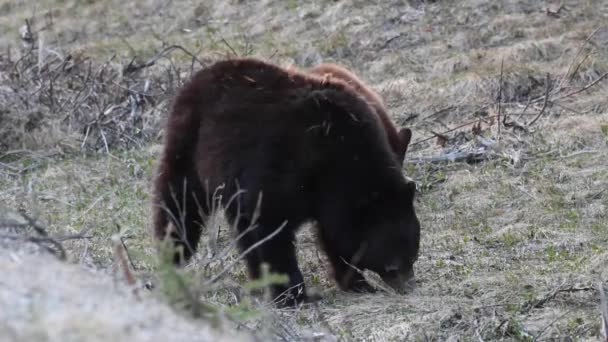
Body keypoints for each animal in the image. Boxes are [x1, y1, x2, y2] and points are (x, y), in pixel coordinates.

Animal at [150, 56, 420, 308]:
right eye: (394, 264)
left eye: (413, 255)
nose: (408, 286)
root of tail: (198, 77)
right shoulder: (283, 169)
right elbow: (273, 230)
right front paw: (293, 295)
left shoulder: (330, 195)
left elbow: (334, 235)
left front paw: (356, 282)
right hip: (190, 143)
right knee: (179, 202)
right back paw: (173, 254)